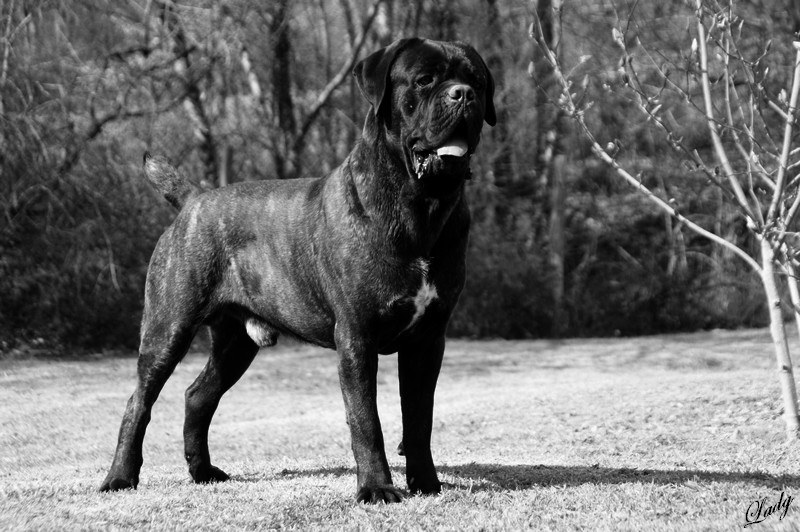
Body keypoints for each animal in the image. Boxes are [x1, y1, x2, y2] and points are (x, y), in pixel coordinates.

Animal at [100, 37, 495, 503]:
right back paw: (120, 477)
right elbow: (366, 420)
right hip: (168, 328)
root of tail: (194, 200)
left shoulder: (428, 339)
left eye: (476, 80)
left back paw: (204, 471)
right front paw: (376, 488)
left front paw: (426, 483)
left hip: (235, 344)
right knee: (138, 402)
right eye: (424, 80)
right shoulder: (357, 337)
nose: (463, 95)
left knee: (198, 396)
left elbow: (419, 418)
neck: (420, 207)